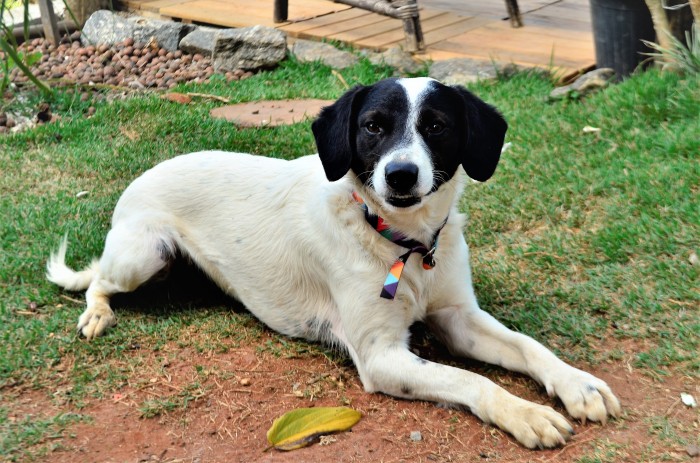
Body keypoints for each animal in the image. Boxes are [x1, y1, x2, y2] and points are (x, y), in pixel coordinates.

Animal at [47, 77, 620, 448]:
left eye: (436, 126)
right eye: (373, 126)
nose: (401, 174)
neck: (403, 245)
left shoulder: (458, 317)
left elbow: (527, 346)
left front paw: (578, 384)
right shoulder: (381, 356)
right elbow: (471, 381)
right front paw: (528, 414)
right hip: (142, 255)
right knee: (96, 280)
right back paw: (96, 314)